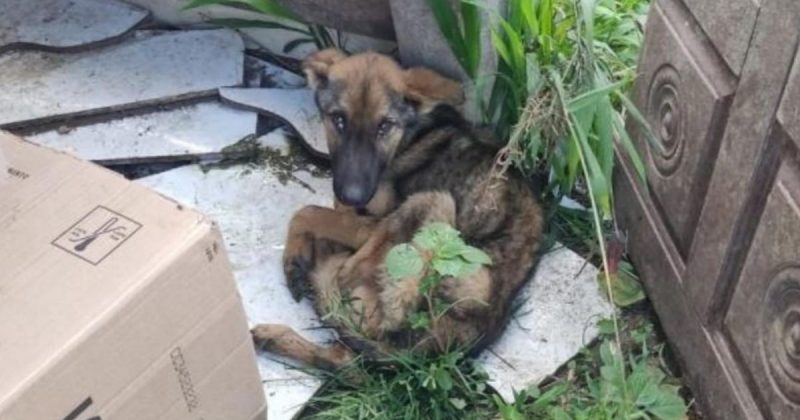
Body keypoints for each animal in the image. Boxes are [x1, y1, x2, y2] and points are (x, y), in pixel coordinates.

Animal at [253, 50, 544, 370]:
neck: (409, 135)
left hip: (436, 205)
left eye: (384, 126)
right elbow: (325, 211)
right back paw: (275, 335)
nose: (353, 195)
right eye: (339, 120)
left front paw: (298, 251)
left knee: (346, 286)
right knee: (344, 358)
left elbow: (308, 212)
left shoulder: (370, 222)